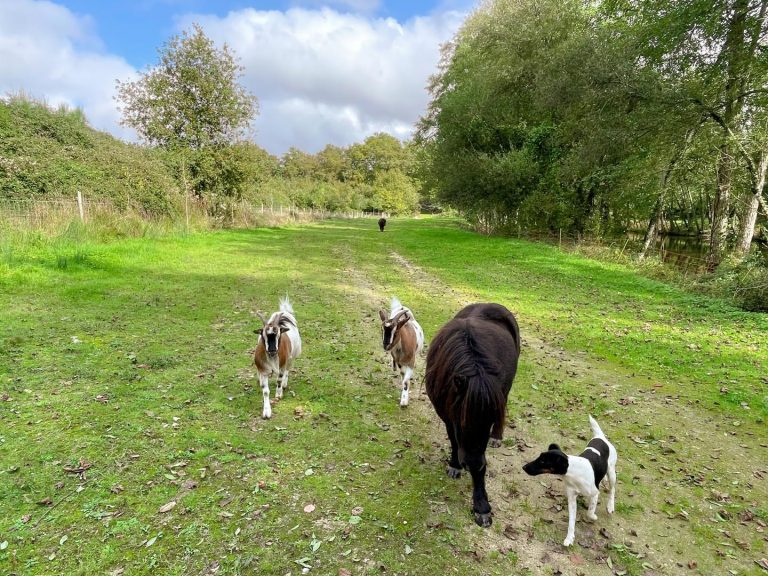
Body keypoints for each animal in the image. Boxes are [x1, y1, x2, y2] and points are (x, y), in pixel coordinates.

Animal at [424, 304, 520, 528]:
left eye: (489, 422)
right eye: (462, 421)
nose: (470, 463)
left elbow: (481, 465)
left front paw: (481, 506)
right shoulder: (448, 417)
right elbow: (454, 441)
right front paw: (454, 466)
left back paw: (497, 437)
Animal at [520, 416, 616, 548]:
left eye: (543, 462)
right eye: (539, 458)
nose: (524, 467)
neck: (574, 472)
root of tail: (600, 437)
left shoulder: (595, 493)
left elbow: (590, 512)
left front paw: (593, 517)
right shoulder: (571, 498)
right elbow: (571, 522)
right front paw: (570, 538)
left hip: (612, 472)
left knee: (612, 489)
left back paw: (610, 505)